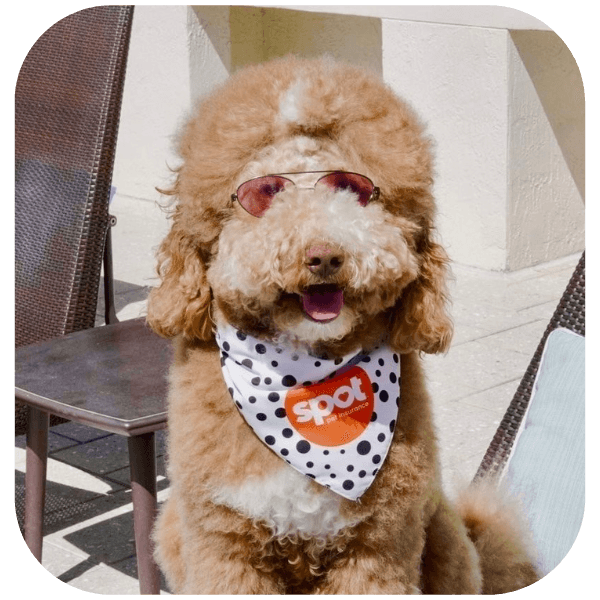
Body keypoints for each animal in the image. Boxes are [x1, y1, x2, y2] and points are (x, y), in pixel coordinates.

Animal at [146, 57, 540, 596]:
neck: (310, 380)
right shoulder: (223, 540)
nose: (324, 255)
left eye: (351, 188)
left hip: (445, 539)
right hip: (170, 530)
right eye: (266, 192)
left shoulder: (379, 543)